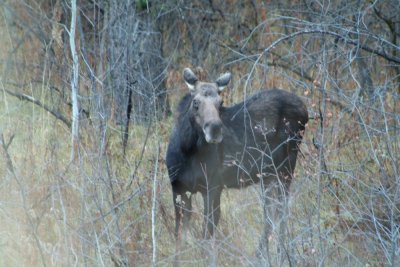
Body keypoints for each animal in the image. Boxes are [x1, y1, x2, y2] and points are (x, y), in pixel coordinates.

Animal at [166, 68, 310, 264]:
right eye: (195, 102)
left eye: (221, 103)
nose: (215, 128)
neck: (186, 151)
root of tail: (305, 109)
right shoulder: (178, 188)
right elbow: (179, 236)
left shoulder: (213, 187)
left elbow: (206, 235)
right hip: (268, 174)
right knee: (272, 211)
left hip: (285, 167)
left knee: (280, 210)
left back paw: (277, 255)